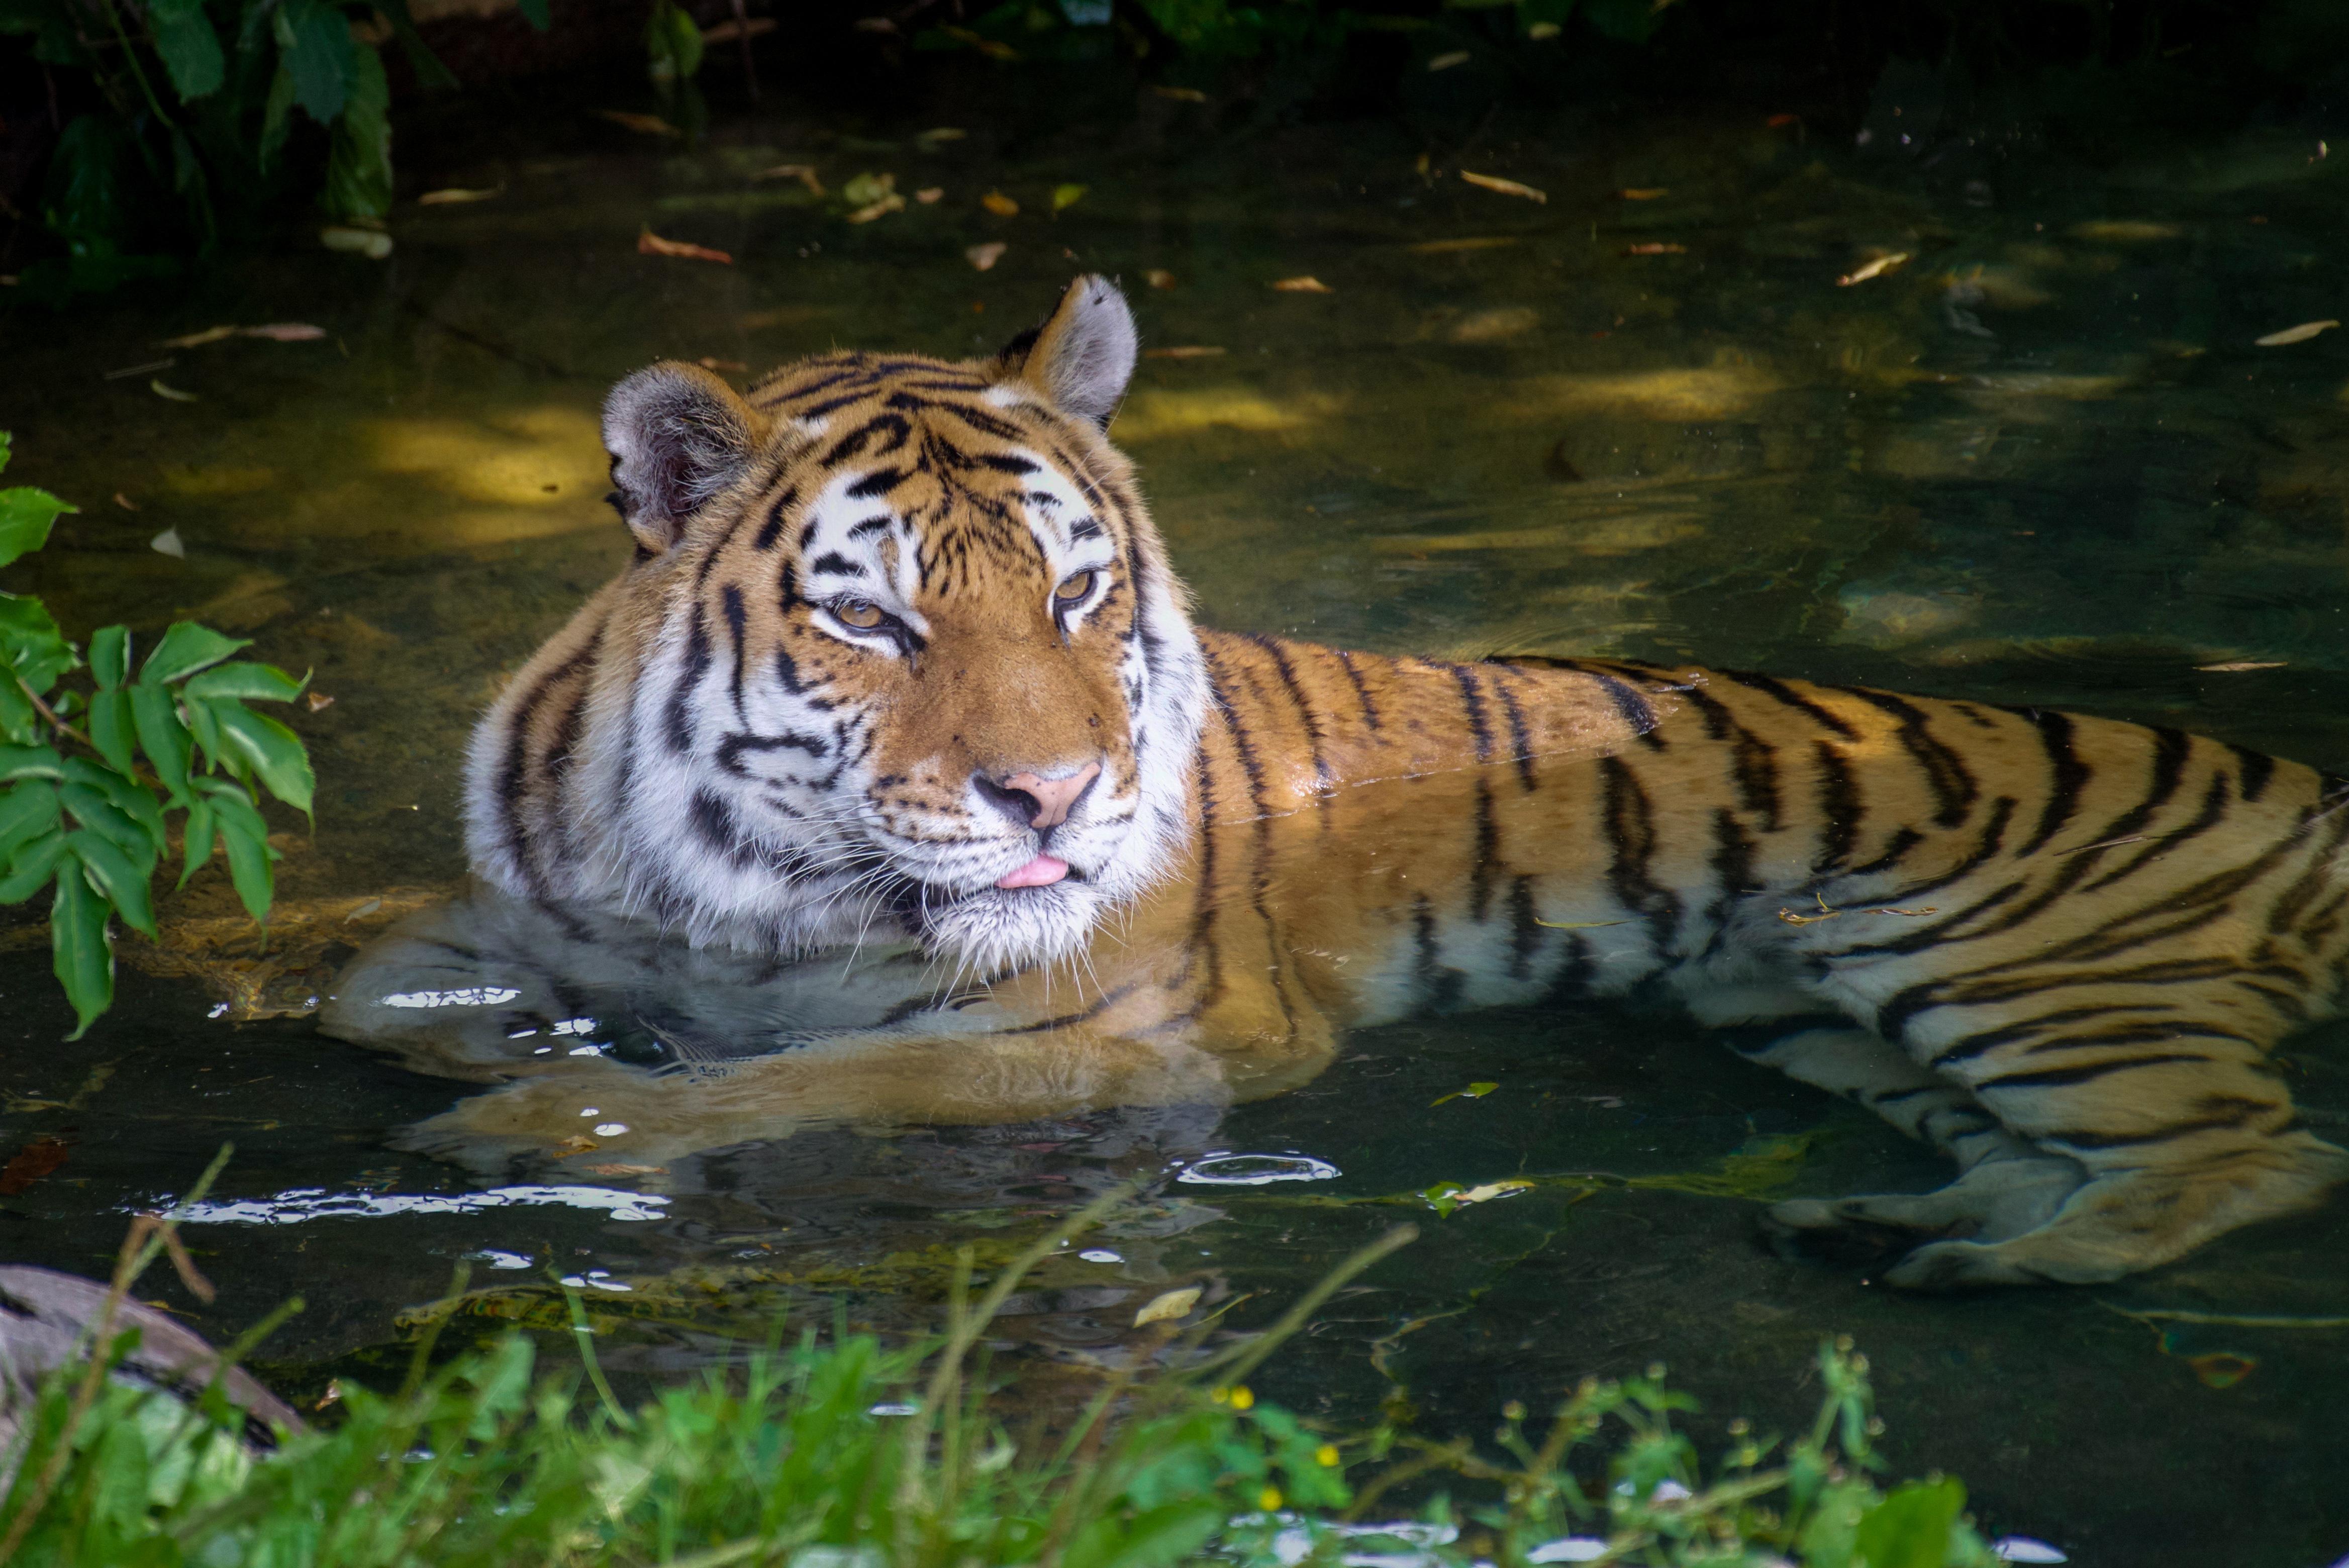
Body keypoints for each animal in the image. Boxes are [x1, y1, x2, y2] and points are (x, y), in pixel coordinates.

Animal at [407, 274, 2349, 1290]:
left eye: (1076, 593)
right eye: (873, 618)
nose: (1056, 798)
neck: (735, 879)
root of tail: (2305, 783)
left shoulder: (1128, 1039)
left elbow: (814, 1083)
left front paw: (542, 1125)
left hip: (2017, 973)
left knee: (2261, 1151)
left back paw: (2014, 1264)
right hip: (1800, 1007)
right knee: (2039, 1147)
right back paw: (1909, 1235)